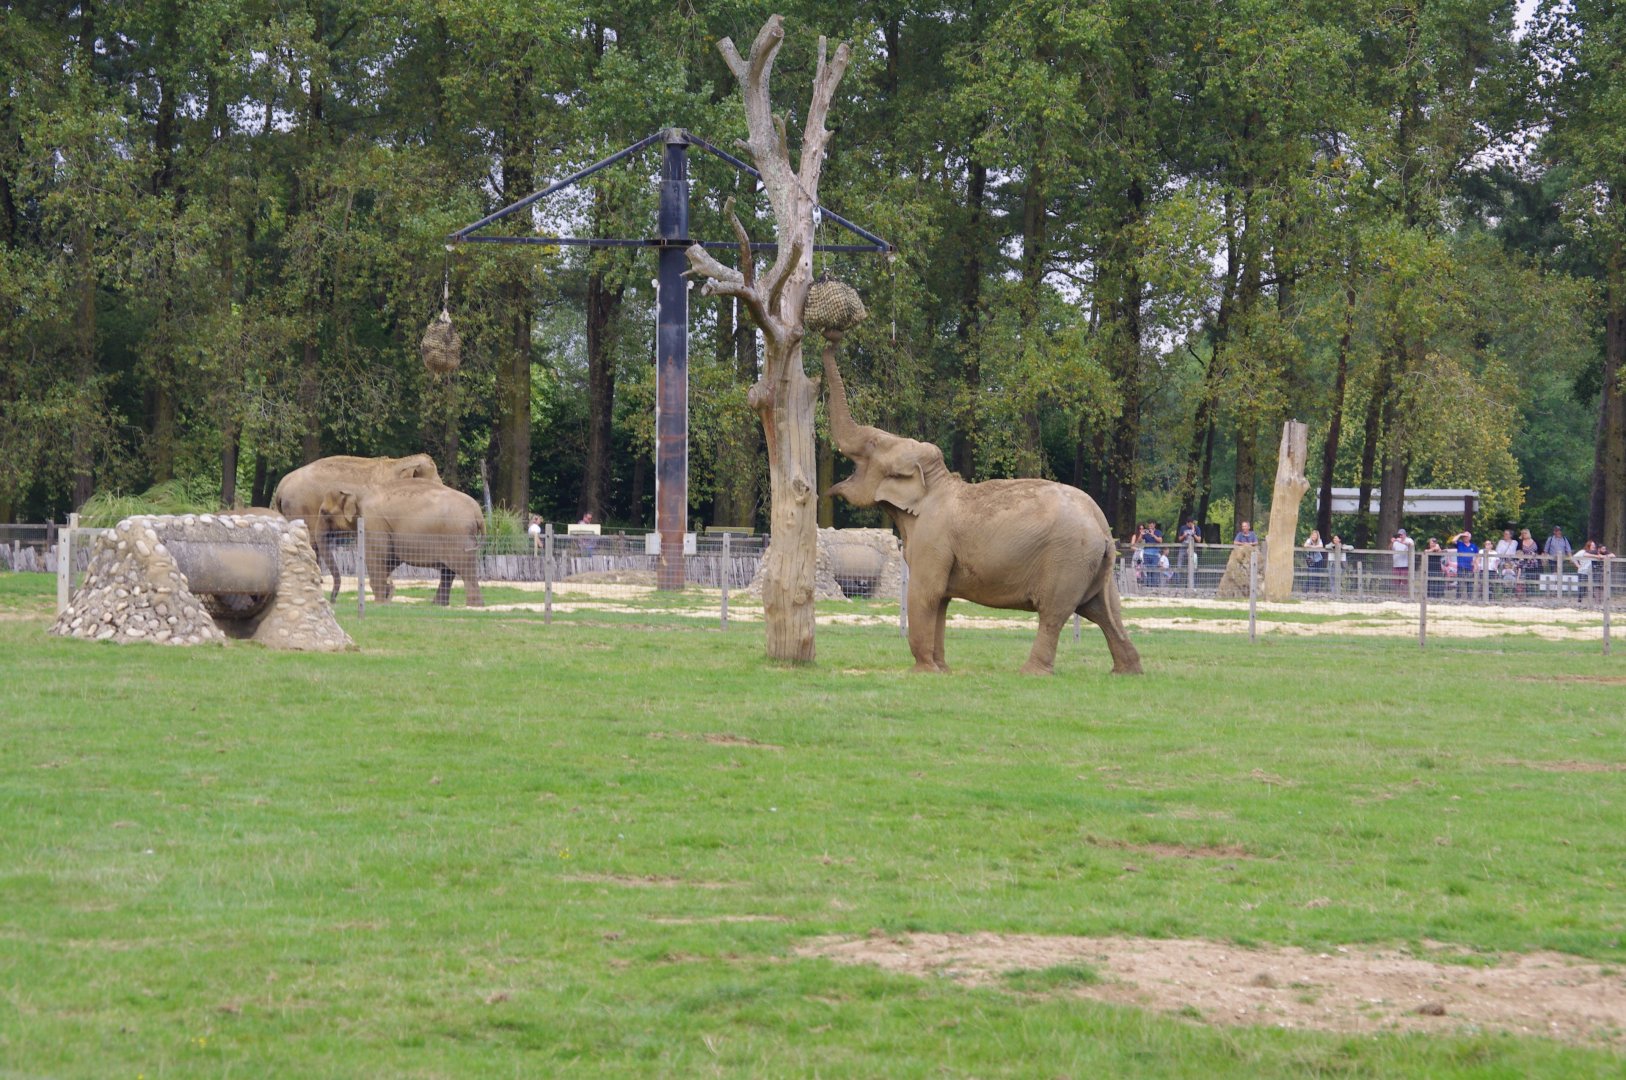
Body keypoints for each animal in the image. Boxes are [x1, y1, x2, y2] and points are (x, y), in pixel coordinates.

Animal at [316, 478, 485, 607]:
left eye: (324, 512)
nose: (333, 601)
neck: (358, 487)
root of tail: (477, 512)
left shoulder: (373, 523)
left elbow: (377, 558)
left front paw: (379, 603)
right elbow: (390, 559)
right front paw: (387, 593)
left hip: (458, 536)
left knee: (465, 571)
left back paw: (473, 606)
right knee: (448, 572)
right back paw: (438, 605)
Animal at [822, 343, 1141, 676]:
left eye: (872, 444)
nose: (829, 341)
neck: (934, 484)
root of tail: (1103, 528)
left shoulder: (932, 539)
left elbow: (926, 593)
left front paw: (923, 672)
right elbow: (942, 600)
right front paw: (942, 670)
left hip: (1068, 559)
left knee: (1054, 613)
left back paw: (1031, 673)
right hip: (1091, 566)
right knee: (1104, 611)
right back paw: (1126, 672)